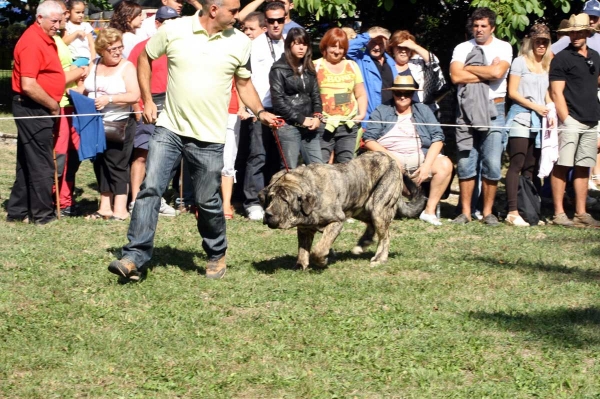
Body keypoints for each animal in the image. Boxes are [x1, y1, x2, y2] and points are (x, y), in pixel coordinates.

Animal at [260, 152, 424, 270]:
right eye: (270, 198)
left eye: (285, 200)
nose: (268, 214)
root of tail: (392, 161)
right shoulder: (304, 229)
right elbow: (303, 249)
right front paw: (300, 266)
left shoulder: (337, 221)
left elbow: (319, 249)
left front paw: (322, 261)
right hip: (361, 207)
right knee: (371, 225)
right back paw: (362, 243)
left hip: (379, 207)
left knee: (385, 236)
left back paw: (379, 258)